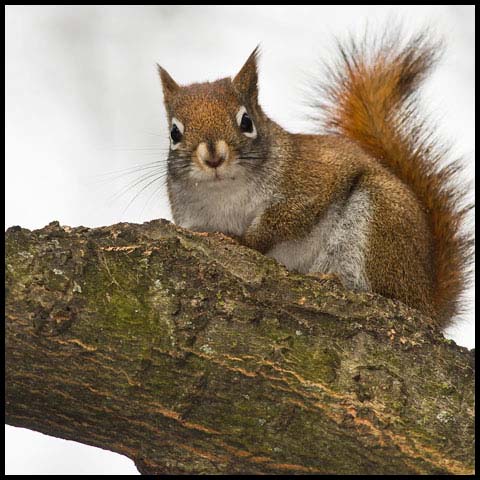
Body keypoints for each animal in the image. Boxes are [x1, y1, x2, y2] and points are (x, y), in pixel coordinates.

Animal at [157, 31, 472, 330]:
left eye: (246, 122)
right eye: (174, 133)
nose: (213, 158)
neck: (225, 192)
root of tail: (428, 301)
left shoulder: (309, 183)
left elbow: (284, 220)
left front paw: (243, 240)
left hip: (382, 222)